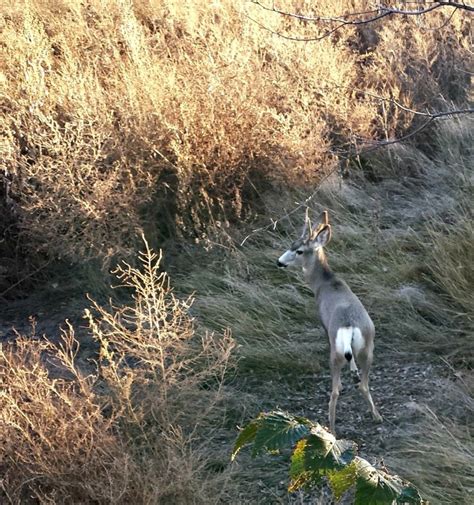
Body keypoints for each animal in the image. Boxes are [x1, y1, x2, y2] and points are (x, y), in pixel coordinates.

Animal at [278, 209, 382, 434]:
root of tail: (350, 326)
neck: (325, 283)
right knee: (363, 384)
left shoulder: (325, 326)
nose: (279, 262)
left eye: (299, 250)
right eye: (291, 244)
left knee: (335, 391)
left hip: (335, 350)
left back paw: (331, 428)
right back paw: (377, 415)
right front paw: (353, 374)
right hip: (369, 347)